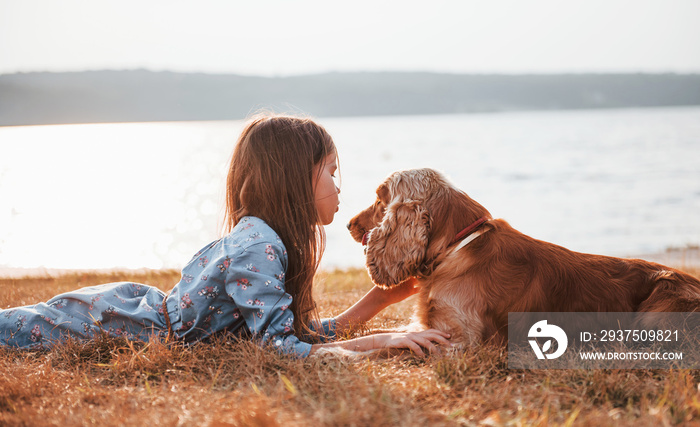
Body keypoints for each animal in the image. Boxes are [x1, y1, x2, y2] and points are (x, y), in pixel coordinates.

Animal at [348, 169, 700, 346]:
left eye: (379, 200)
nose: (349, 223)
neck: (456, 247)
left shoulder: (461, 342)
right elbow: (381, 336)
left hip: (657, 315)